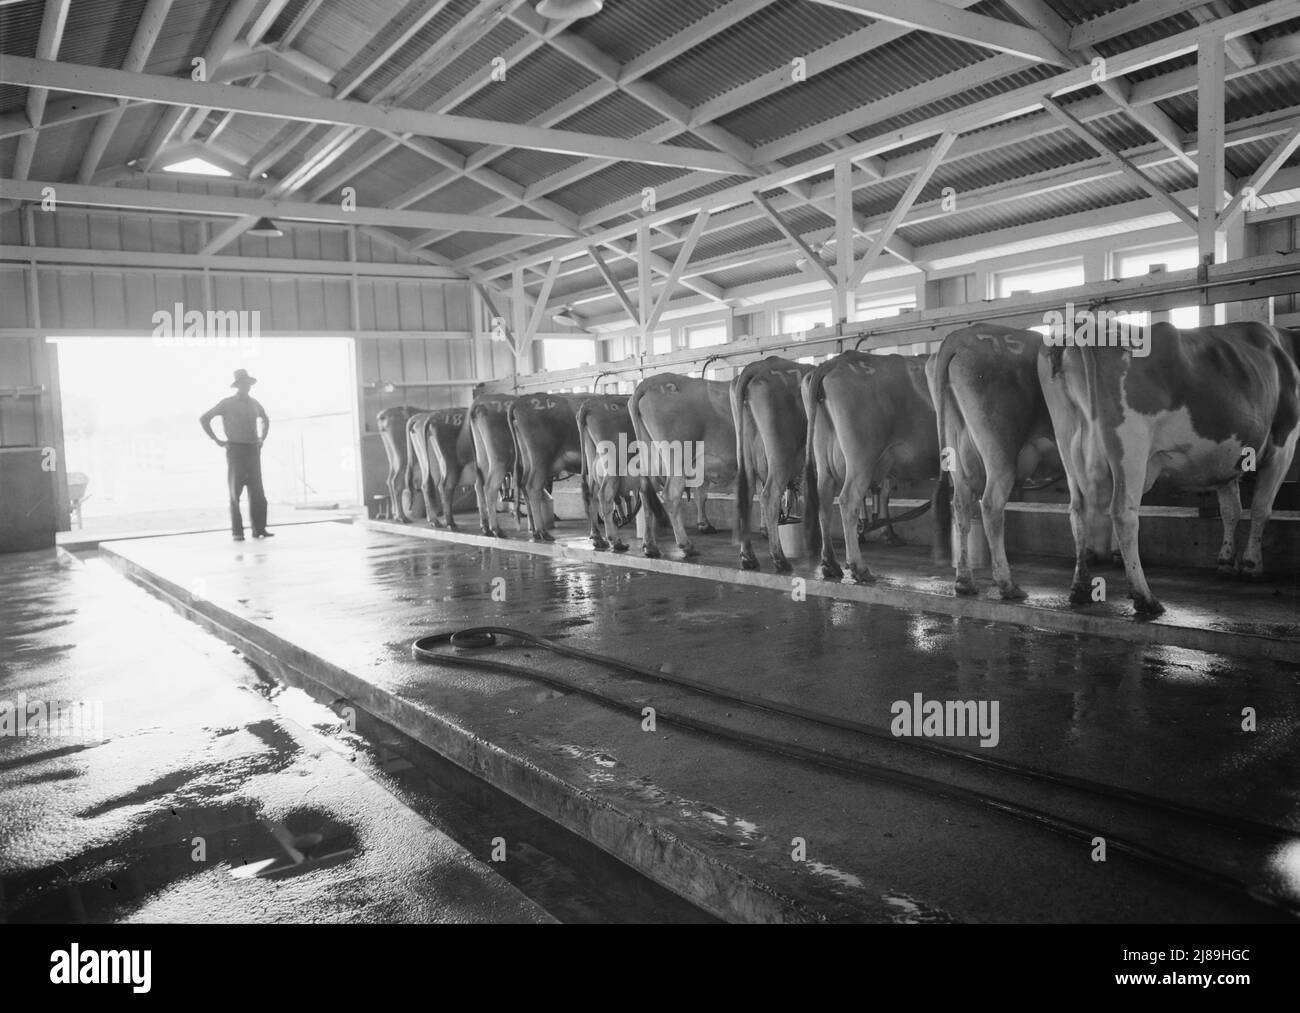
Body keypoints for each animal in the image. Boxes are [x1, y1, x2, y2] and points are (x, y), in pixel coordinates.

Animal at [631, 374, 743, 561]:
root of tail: (649, 382)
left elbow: (701, 494)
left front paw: (704, 524)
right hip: (677, 459)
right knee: (671, 494)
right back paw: (687, 546)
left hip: (650, 457)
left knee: (645, 493)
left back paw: (650, 546)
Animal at [733, 353, 811, 569]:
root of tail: (760, 364)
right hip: (781, 452)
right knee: (769, 495)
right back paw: (780, 559)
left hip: (746, 453)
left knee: (747, 494)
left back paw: (749, 557)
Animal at [795, 353, 951, 582]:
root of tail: (834, 361)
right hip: (862, 457)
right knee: (848, 500)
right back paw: (859, 567)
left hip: (824, 458)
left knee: (824, 502)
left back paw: (830, 564)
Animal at [935, 325, 1066, 598]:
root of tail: (960, 336)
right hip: (1000, 450)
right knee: (991, 504)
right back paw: (1007, 583)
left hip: (958, 448)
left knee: (962, 504)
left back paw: (964, 581)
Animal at [1034, 321, 1300, 613]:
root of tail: (1083, 328)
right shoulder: (1283, 444)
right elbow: (1261, 509)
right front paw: (1253, 566)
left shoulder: (1226, 458)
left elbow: (1231, 510)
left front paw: (1226, 562)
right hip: (1131, 446)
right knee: (1123, 513)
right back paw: (1145, 598)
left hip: (1067, 442)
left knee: (1077, 511)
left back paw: (1080, 588)